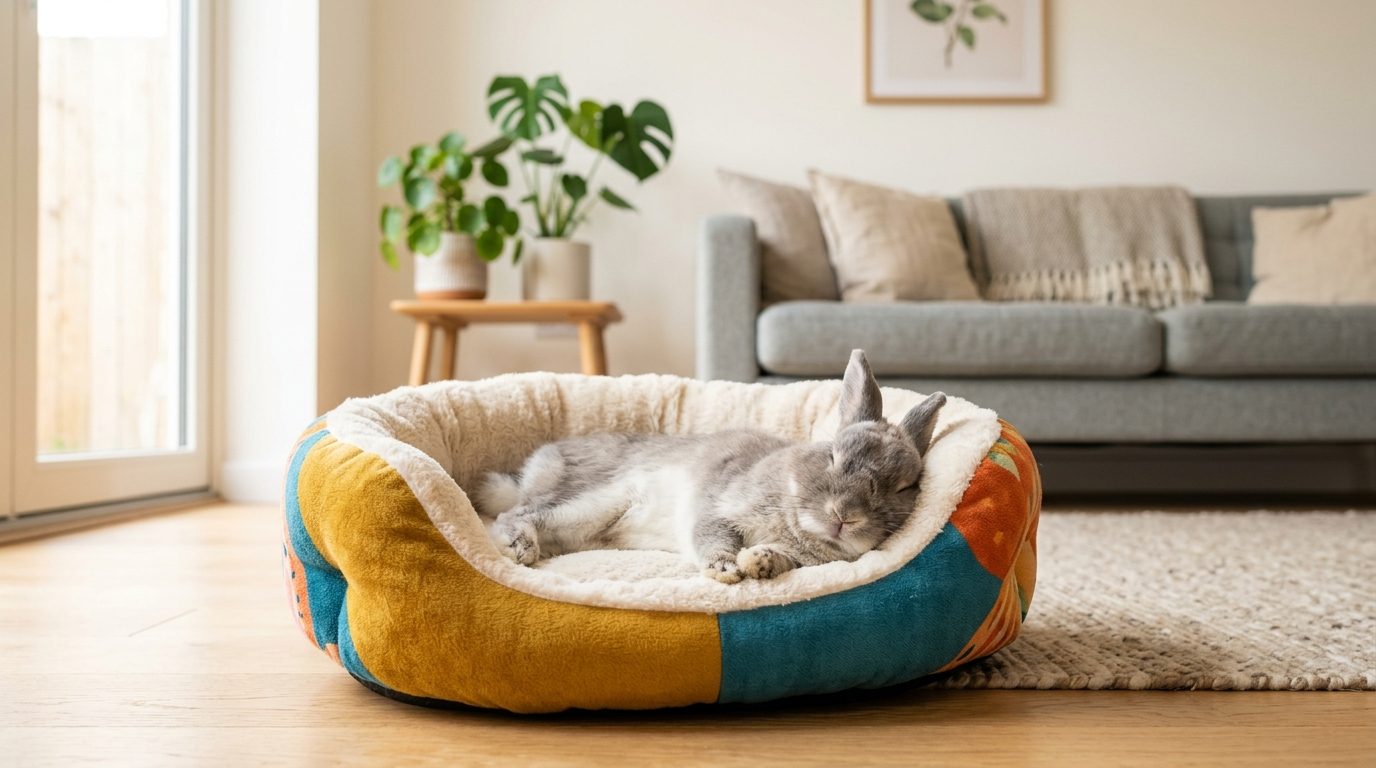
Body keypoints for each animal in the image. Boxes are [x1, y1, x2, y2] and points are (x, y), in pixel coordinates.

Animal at [477, 349, 947, 583]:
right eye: (832, 454)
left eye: (904, 486)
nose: (845, 516)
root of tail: (533, 472)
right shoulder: (717, 510)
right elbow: (713, 537)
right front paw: (725, 570)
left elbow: (781, 559)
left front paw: (759, 563)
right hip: (591, 500)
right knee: (514, 515)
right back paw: (520, 546)